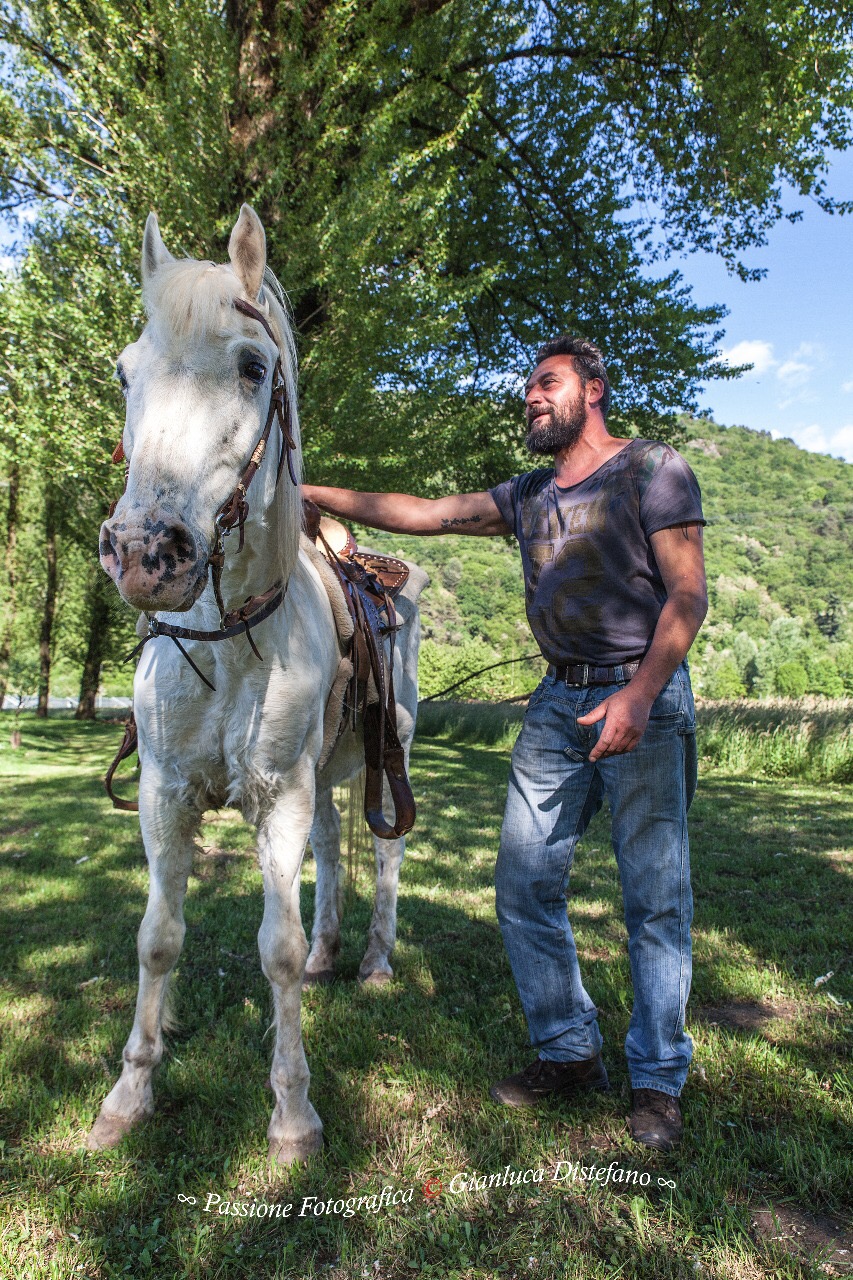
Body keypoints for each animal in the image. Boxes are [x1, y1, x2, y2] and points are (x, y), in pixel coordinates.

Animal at [90, 204, 426, 1162]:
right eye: (124, 371)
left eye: (253, 367)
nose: (145, 553)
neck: (232, 641)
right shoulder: (166, 793)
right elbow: (158, 938)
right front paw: (130, 1093)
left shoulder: (281, 795)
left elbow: (272, 947)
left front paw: (293, 1112)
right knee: (333, 856)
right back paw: (329, 955)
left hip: (387, 756)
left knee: (383, 855)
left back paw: (375, 961)